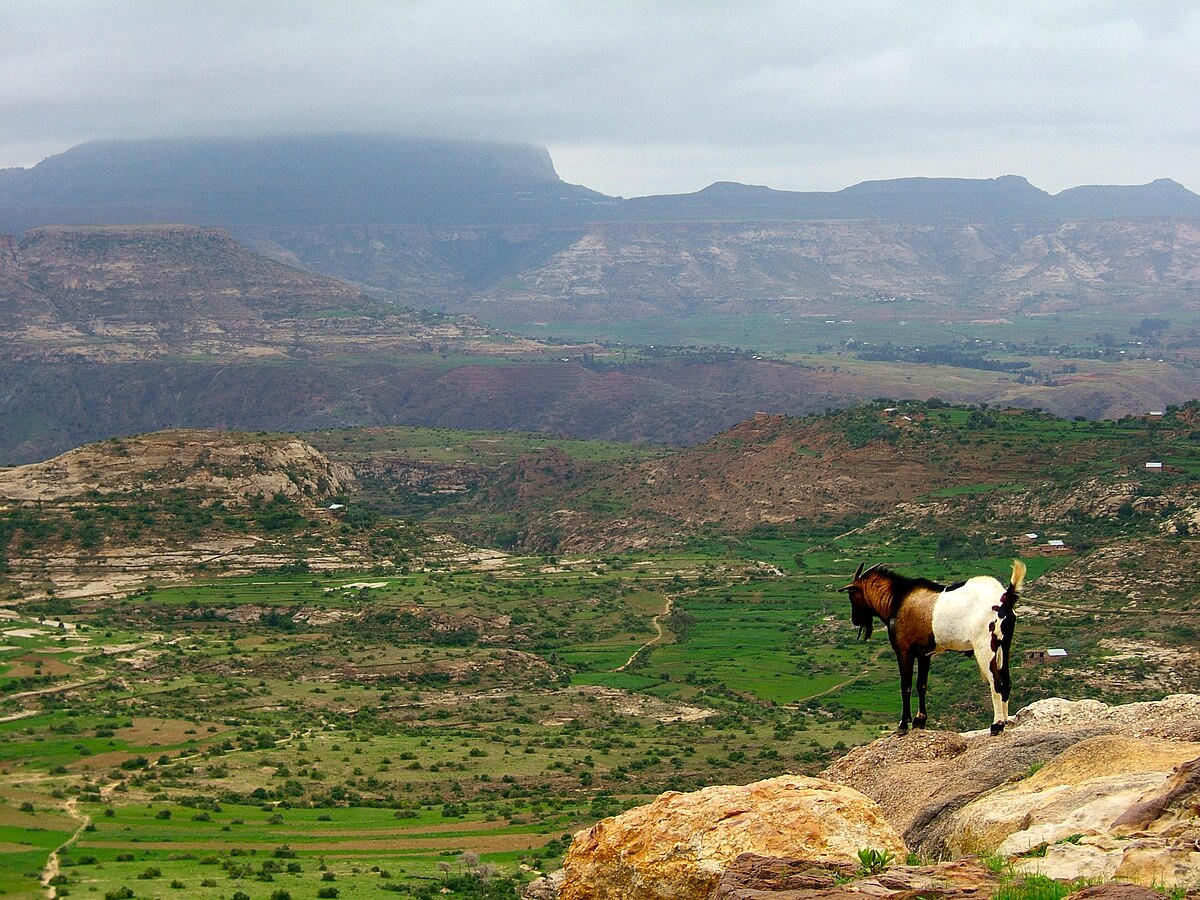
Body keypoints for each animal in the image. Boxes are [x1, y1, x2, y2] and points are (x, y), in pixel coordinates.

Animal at [842, 559, 1026, 735]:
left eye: (852, 594)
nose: (855, 619)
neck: (897, 599)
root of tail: (1005, 597)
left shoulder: (904, 651)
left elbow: (906, 686)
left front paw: (903, 725)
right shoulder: (924, 654)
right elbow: (921, 685)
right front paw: (920, 721)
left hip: (985, 647)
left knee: (997, 683)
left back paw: (996, 725)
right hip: (1004, 645)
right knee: (1007, 682)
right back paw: (1005, 723)